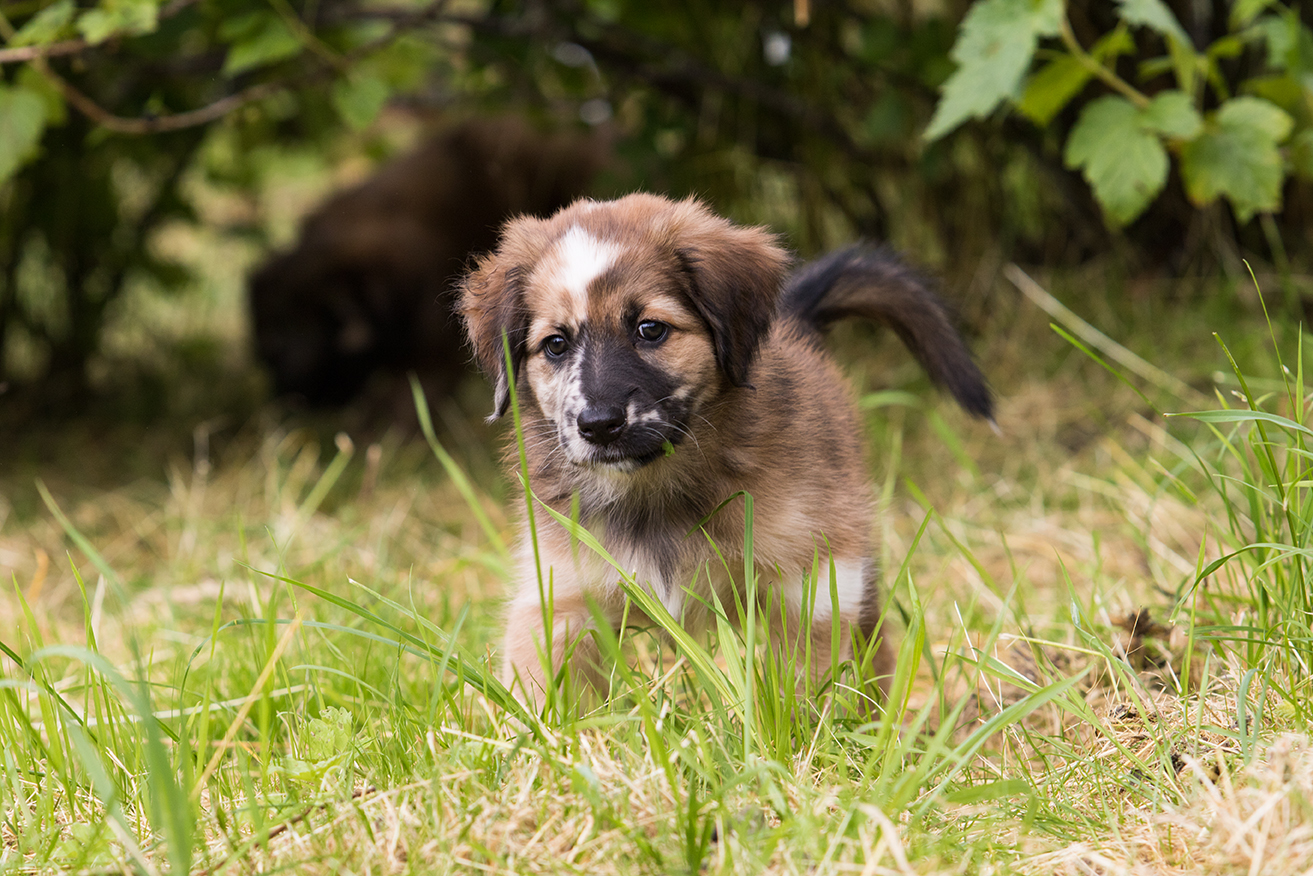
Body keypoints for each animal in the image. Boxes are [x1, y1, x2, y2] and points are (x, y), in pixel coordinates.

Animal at [460, 193, 992, 709]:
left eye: (650, 329)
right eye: (555, 344)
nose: (599, 425)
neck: (654, 495)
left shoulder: (813, 582)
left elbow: (804, 685)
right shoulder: (560, 597)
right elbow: (536, 695)